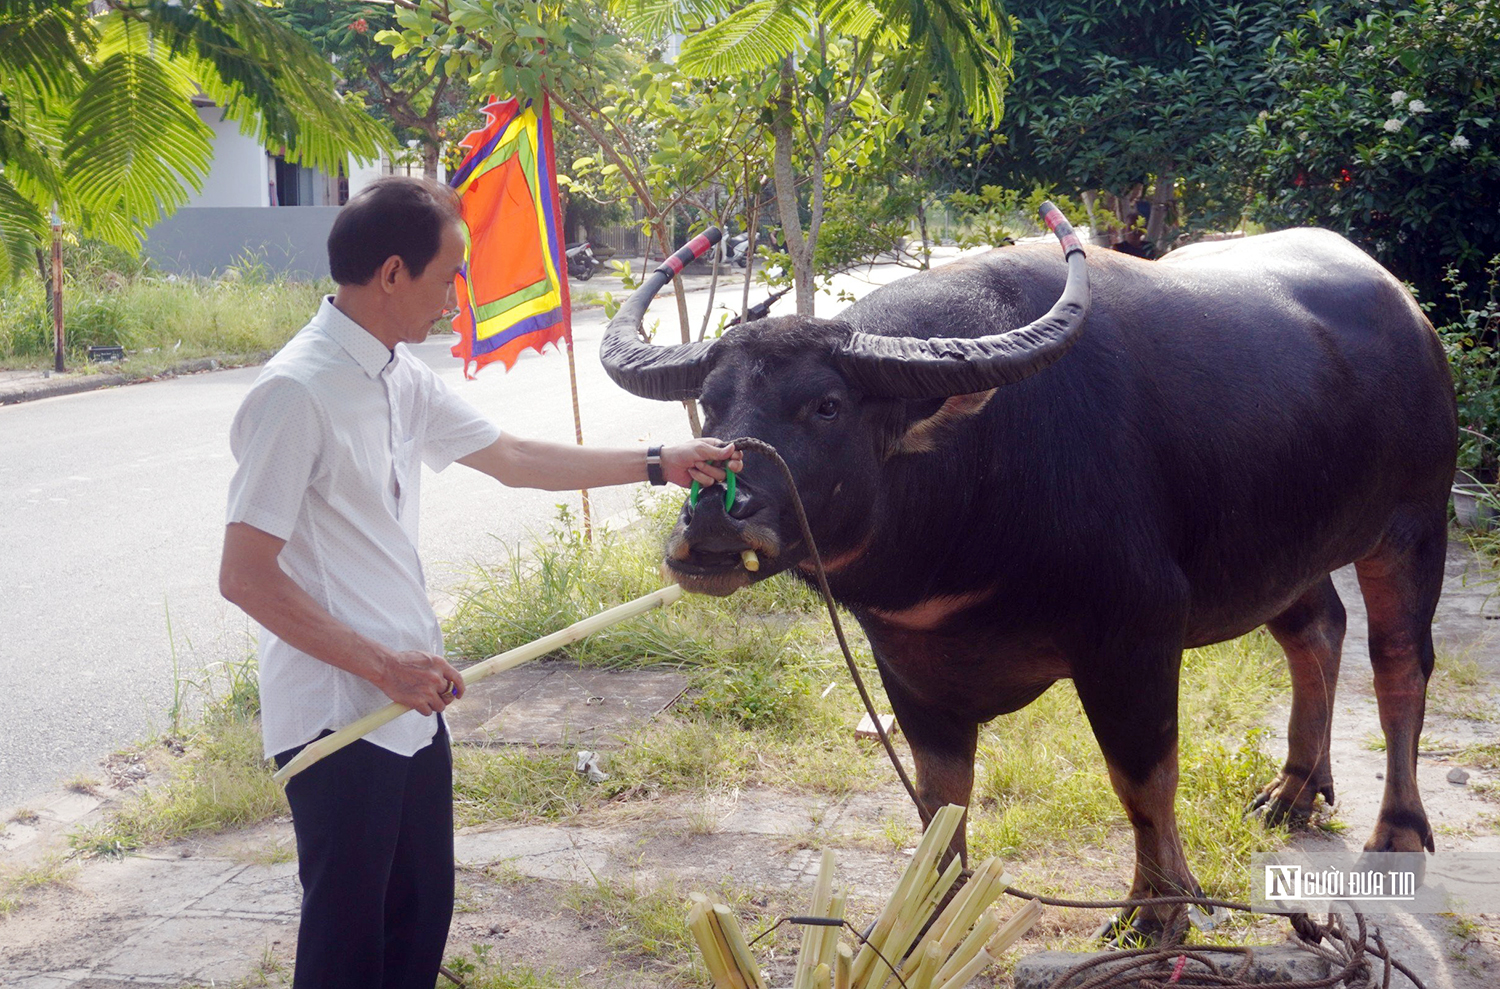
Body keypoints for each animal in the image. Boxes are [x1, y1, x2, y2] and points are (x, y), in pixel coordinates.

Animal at [597, 213, 1452, 942]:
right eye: (710, 405)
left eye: (827, 404)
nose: (712, 526)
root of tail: (1410, 312)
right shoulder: (904, 660)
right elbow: (940, 794)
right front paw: (927, 911)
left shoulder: (1135, 635)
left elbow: (1144, 779)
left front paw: (1156, 911)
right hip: (1286, 548)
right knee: (1317, 632)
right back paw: (1296, 788)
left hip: (1413, 525)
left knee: (1399, 664)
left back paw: (1399, 829)